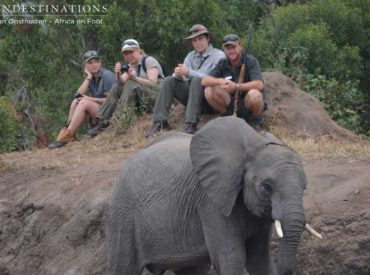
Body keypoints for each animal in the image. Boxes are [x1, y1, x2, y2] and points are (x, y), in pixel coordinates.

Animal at [107, 117, 320, 275]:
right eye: (267, 187)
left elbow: (259, 260)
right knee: (125, 268)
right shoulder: (210, 202)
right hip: (123, 214)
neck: (253, 146)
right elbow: (232, 259)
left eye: (304, 187)